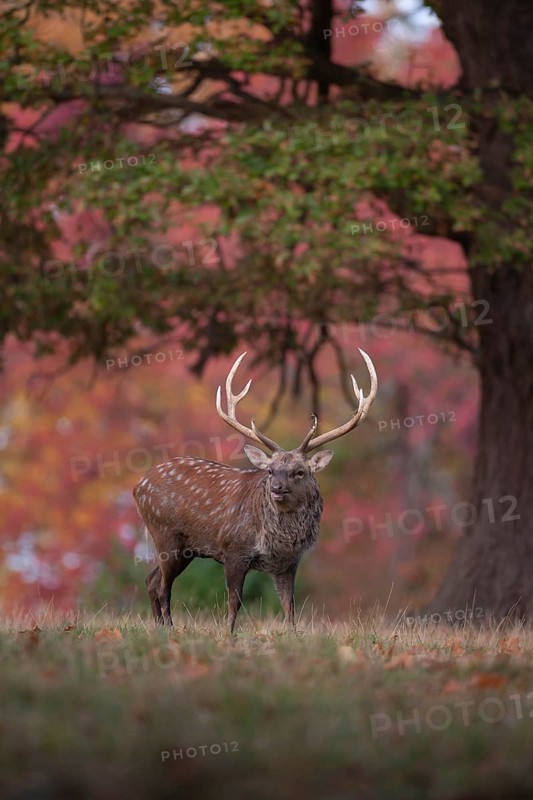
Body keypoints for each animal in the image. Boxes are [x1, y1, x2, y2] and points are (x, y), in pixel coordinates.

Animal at [133, 348, 377, 633]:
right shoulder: (234, 550)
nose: (277, 489)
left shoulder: (289, 562)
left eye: (299, 472)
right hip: (166, 535)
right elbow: (234, 602)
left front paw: (293, 636)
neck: (277, 539)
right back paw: (169, 628)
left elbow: (289, 606)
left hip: (185, 549)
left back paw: (160, 627)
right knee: (163, 586)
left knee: (151, 580)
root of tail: (139, 485)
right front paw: (228, 635)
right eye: (270, 470)